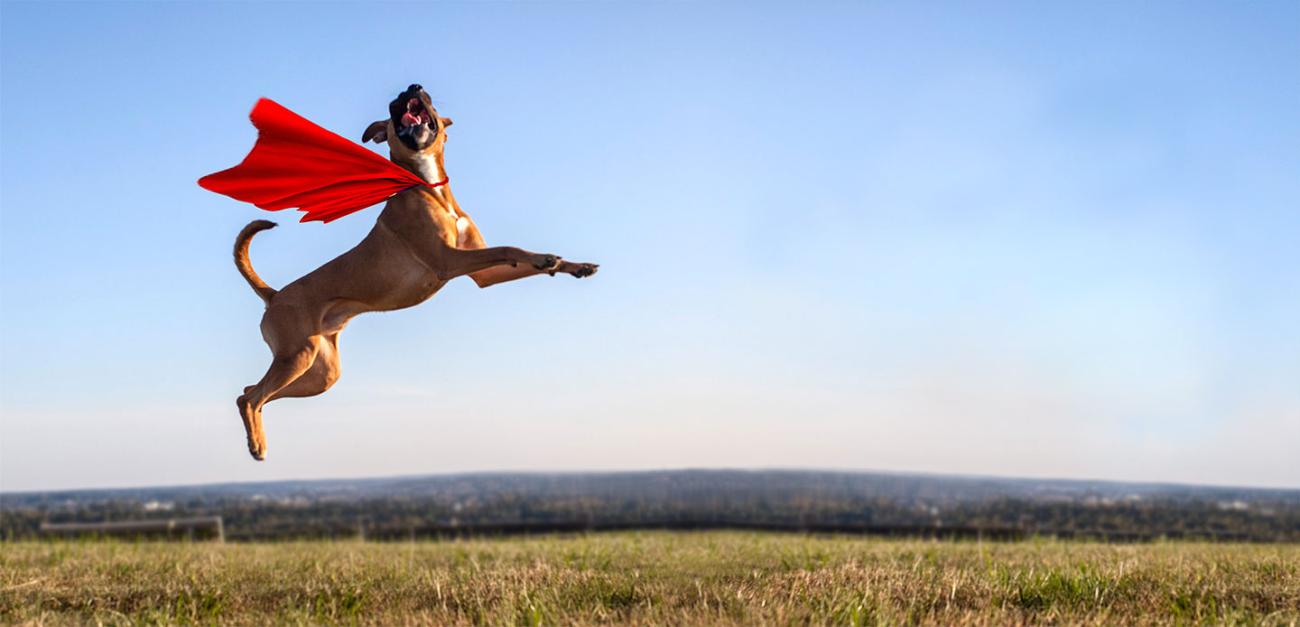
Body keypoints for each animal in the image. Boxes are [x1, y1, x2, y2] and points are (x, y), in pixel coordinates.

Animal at [233, 84, 598, 460]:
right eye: (393, 104)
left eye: (428, 99)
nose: (411, 87)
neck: (428, 186)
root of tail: (274, 295)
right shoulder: (448, 260)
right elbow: (508, 248)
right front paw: (546, 259)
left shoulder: (483, 275)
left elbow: (517, 255)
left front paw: (571, 265)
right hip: (298, 357)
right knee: (250, 397)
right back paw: (257, 445)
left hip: (320, 373)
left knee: (250, 391)